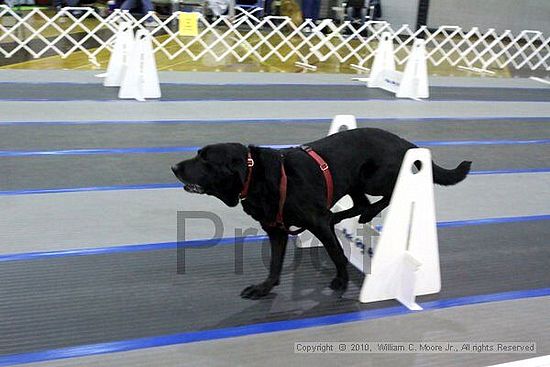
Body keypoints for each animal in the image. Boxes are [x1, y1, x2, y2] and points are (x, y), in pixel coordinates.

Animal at [172, 128, 474, 300]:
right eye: (198, 154)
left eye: (205, 159)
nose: (174, 167)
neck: (255, 176)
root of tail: (405, 142)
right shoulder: (277, 230)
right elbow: (275, 264)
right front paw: (264, 288)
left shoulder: (316, 223)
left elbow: (336, 252)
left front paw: (342, 281)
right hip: (353, 181)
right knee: (360, 204)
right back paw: (345, 216)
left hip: (372, 178)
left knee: (387, 194)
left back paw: (365, 214)